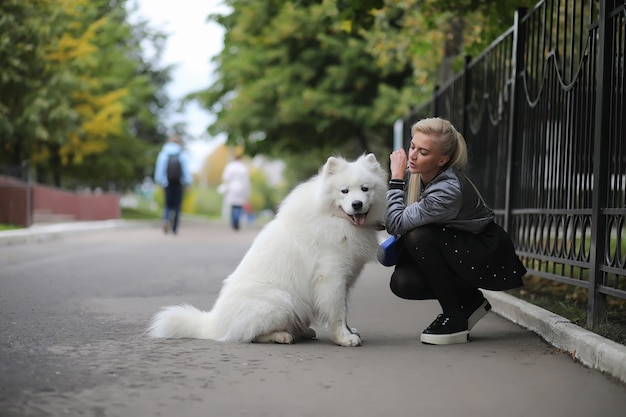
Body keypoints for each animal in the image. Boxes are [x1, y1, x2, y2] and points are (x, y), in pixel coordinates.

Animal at [149, 153, 388, 344]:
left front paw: (349, 331)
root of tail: (215, 324)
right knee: (250, 335)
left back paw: (301, 331)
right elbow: (338, 312)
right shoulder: (331, 277)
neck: (333, 219)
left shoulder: (345, 279)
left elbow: (344, 311)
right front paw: (344, 338)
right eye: (344, 191)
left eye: (365, 189)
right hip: (282, 300)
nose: (357, 204)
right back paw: (282, 335)